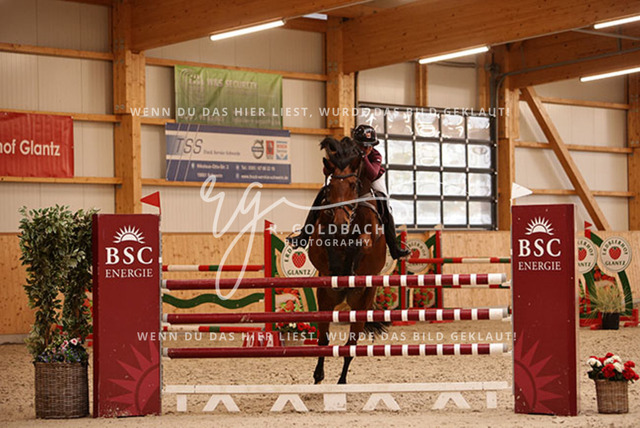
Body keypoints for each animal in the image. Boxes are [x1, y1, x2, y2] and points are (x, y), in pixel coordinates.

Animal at [307, 136, 388, 384]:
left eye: (353, 185)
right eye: (331, 187)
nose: (341, 222)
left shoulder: (371, 238)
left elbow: (360, 243)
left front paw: (349, 267)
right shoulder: (320, 238)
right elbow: (326, 241)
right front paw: (337, 265)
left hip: (360, 306)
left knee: (350, 346)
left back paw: (342, 382)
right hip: (325, 299)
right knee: (324, 340)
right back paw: (318, 376)